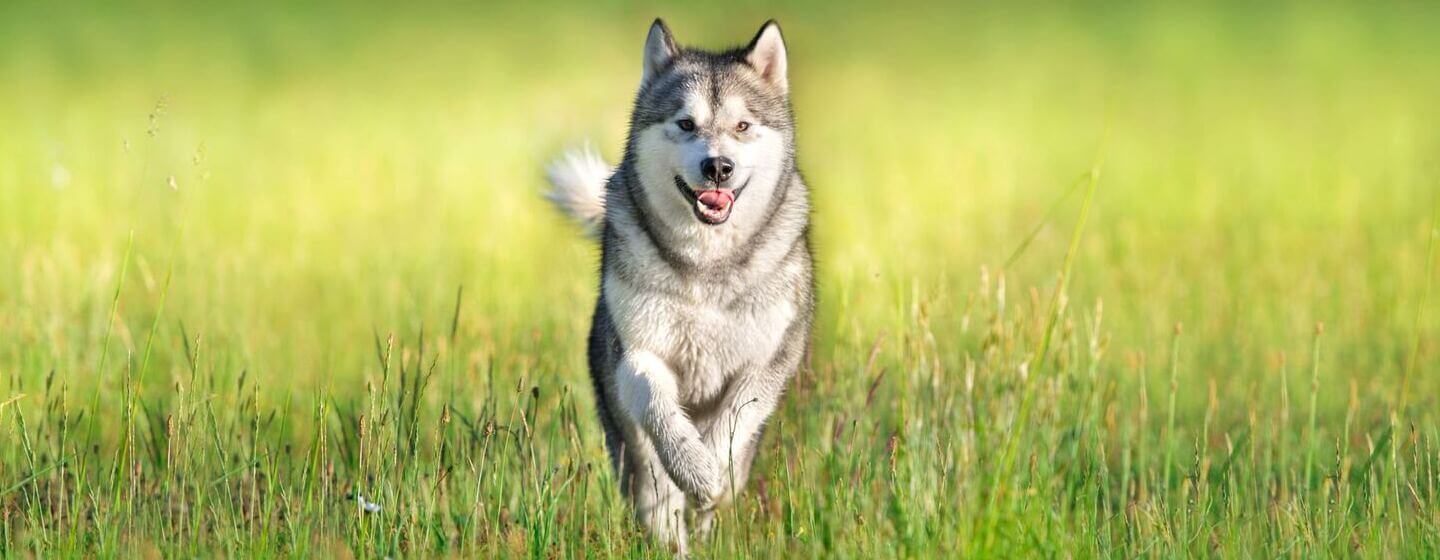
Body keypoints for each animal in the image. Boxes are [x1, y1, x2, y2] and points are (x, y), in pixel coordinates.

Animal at [541, 18, 812, 552]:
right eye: (686, 124)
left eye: (742, 126)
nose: (718, 167)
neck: (706, 263)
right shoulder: (637, 354)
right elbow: (660, 407)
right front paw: (694, 467)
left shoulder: (766, 361)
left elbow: (733, 422)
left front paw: (711, 474)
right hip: (628, 440)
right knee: (657, 496)